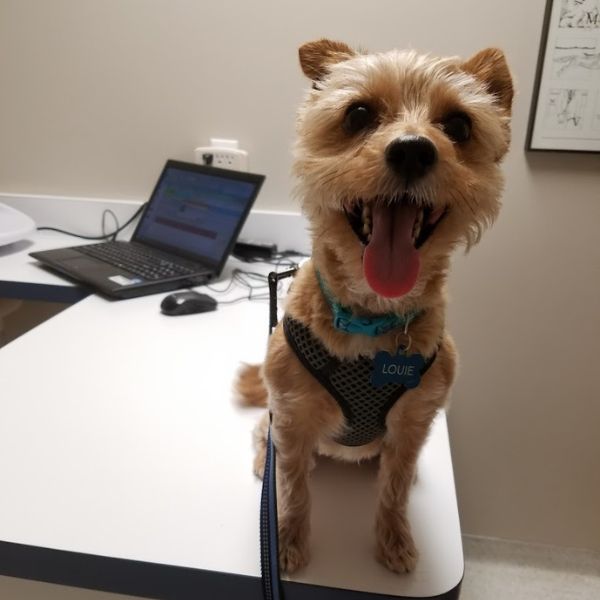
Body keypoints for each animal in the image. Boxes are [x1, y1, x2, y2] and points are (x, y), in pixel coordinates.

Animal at [237, 38, 512, 576]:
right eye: (359, 113)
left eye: (459, 125)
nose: (412, 149)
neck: (370, 320)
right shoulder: (292, 417)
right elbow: (293, 490)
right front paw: (285, 540)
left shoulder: (412, 424)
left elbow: (395, 490)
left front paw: (394, 540)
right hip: (275, 420)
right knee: (264, 438)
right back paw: (262, 460)